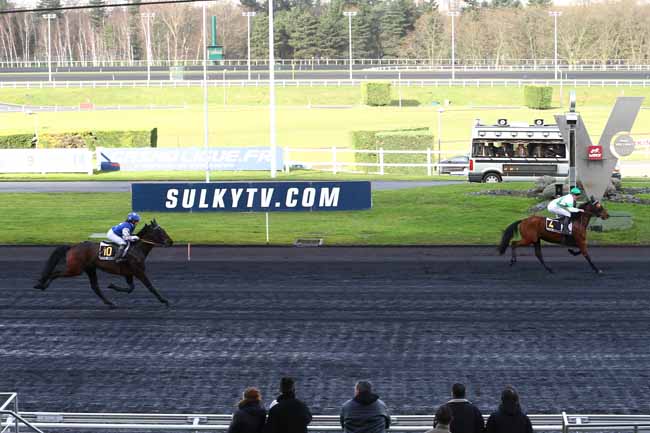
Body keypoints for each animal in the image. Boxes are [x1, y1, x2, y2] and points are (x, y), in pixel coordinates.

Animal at [34, 220, 173, 308]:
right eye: (160, 231)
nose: (171, 242)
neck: (136, 249)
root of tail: (73, 246)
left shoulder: (129, 273)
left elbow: (130, 288)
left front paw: (112, 286)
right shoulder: (138, 272)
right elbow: (150, 286)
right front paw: (164, 301)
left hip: (90, 269)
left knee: (95, 287)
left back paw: (109, 303)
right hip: (75, 269)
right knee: (56, 273)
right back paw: (42, 285)